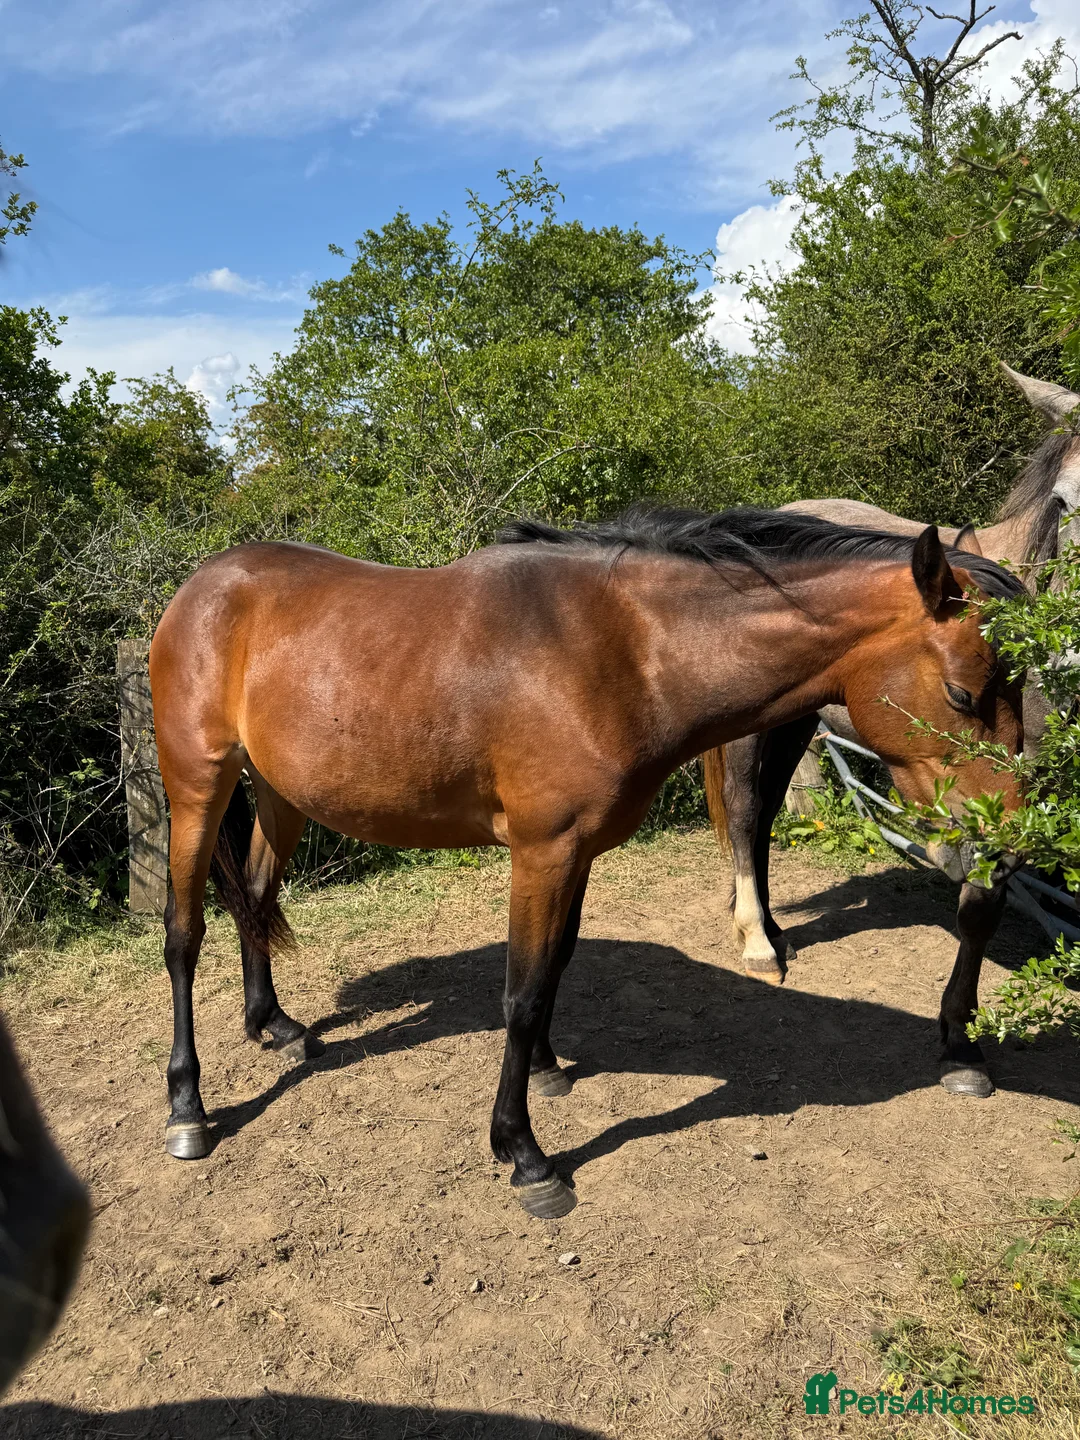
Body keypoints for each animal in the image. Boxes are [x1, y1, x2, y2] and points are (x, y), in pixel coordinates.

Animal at [149, 506, 1024, 1219]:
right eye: (962, 694)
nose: (1007, 849)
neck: (622, 652)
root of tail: (200, 588)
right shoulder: (543, 852)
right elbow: (524, 990)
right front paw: (524, 1153)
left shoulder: (579, 854)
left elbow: (557, 964)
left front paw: (545, 1071)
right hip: (197, 786)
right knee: (184, 934)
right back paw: (188, 1108)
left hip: (281, 794)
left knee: (255, 896)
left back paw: (274, 1024)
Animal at [709, 365, 1080, 1099]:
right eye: (1062, 500)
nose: (1068, 658)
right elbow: (980, 903)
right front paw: (961, 1047)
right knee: (742, 812)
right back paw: (758, 942)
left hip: (798, 723)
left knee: (764, 818)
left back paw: (771, 925)